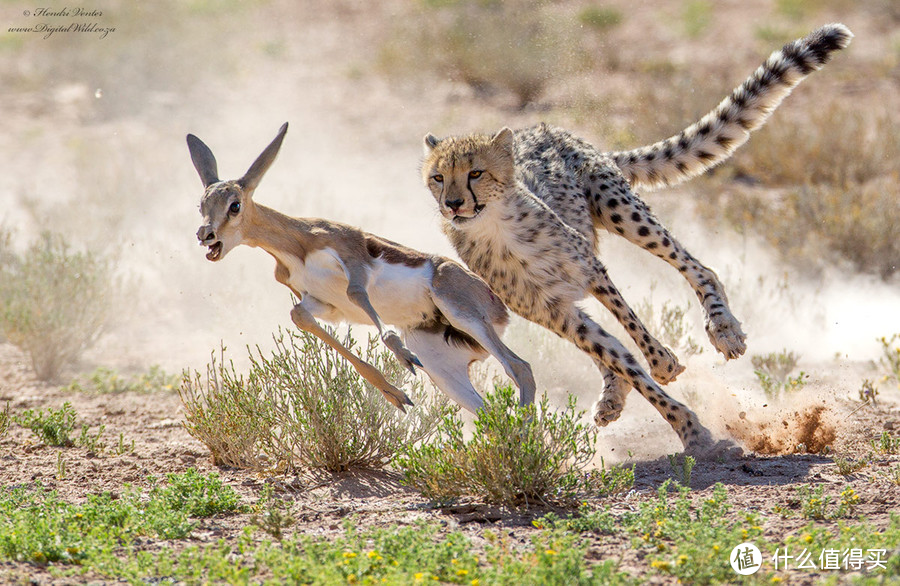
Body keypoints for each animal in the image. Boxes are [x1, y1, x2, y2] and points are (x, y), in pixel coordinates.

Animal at [420, 24, 852, 456]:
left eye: (475, 173)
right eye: (438, 177)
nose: (453, 204)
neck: (499, 231)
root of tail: (551, 130)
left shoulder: (591, 269)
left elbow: (630, 323)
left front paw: (663, 363)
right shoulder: (555, 312)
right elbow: (618, 358)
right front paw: (688, 428)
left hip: (620, 209)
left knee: (699, 267)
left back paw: (723, 328)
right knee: (612, 348)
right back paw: (613, 396)